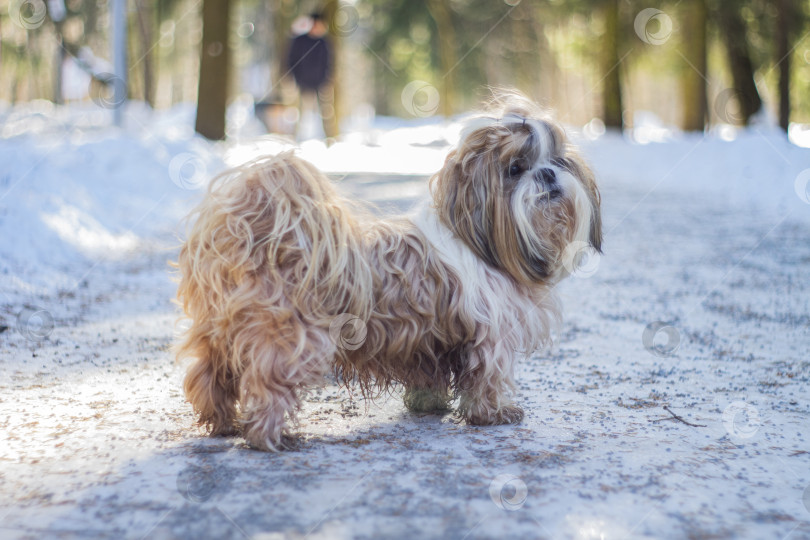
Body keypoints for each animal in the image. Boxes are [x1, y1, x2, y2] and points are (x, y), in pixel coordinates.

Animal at [175, 90, 600, 450]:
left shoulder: (429, 343)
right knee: (266, 384)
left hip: (218, 332)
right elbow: (487, 379)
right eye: (515, 168)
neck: (482, 242)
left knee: (208, 377)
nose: (547, 174)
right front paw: (494, 413)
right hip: (289, 340)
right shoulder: (492, 337)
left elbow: (429, 377)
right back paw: (272, 437)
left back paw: (223, 423)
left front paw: (429, 404)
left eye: (558, 161)